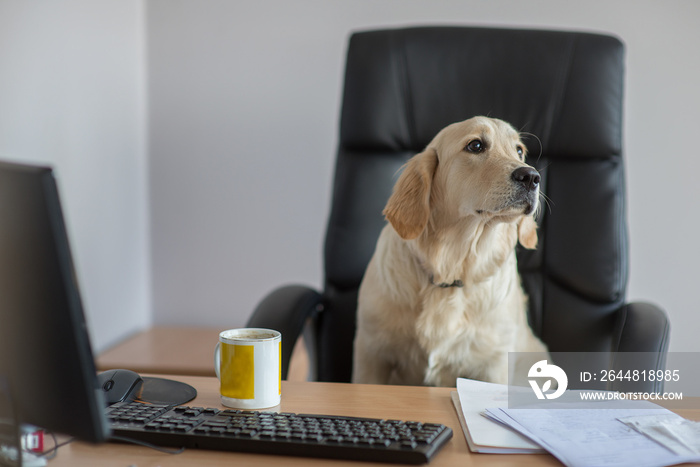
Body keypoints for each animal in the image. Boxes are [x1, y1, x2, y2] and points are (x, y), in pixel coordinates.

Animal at [352, 117, 548, 388]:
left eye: (519, 150)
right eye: (475, 145)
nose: (531, 176)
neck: (452, 270)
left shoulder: (494, 364)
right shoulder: (371, 353)